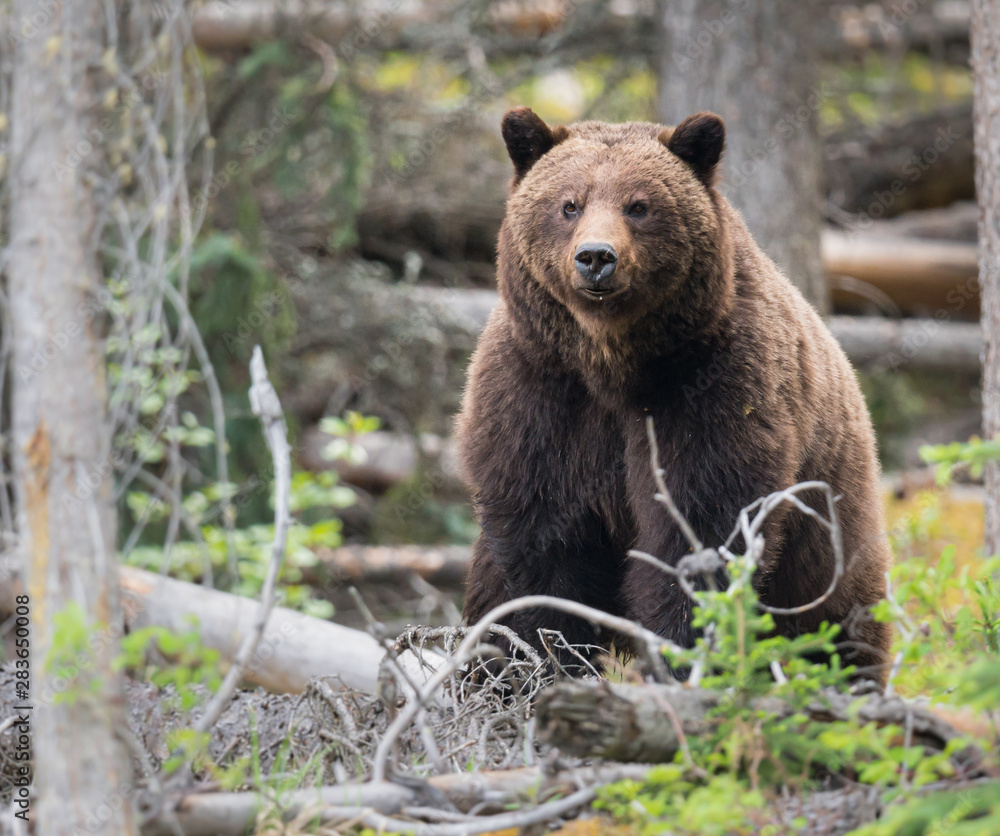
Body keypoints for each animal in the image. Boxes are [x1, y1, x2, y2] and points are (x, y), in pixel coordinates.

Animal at [458, 108, 892, 684]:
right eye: (569, 204)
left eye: (638, 205)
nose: (596, 257)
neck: (611, 363)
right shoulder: (538, 394)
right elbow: (543, 543)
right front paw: (542, 659)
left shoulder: (711, 387)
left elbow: (698, 529)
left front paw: (680, 655)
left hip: (829, 542)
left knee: (838, 633)